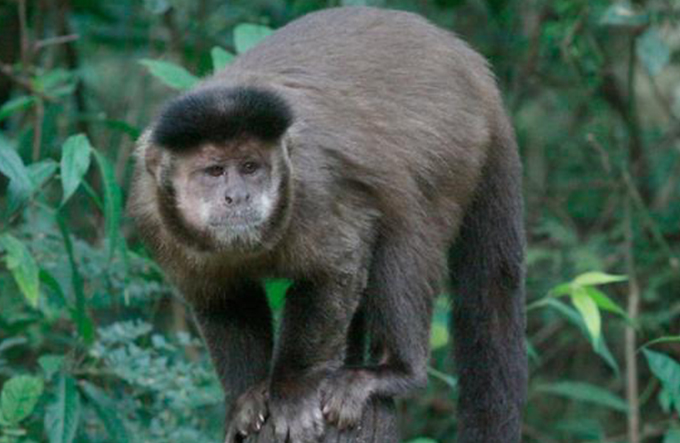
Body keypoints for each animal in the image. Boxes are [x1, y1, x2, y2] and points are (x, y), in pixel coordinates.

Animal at [128, 6, 527, 443]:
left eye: (250, 167)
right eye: (215, 172)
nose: (239, 196)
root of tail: (475, 68)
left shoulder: (313, 187)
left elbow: (335, 269)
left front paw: (292, 390)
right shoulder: (153, 215)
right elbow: (220, 299)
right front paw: (247, 398)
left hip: (454, 145)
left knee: (403, 242)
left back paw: (392, 372)